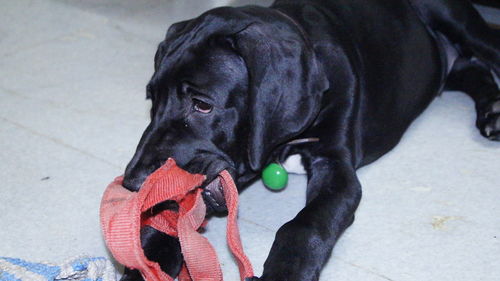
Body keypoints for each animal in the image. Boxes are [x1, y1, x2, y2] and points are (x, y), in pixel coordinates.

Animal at [119, 1, 498, 278]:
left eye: (202, 104)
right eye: (153, 99)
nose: (132, 183)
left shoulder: (338, 170)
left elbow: (303, 227)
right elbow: (171, 219)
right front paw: (147, 261)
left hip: (459, 22)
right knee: (469, 69)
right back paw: (491, 110)